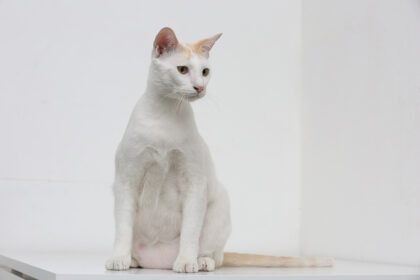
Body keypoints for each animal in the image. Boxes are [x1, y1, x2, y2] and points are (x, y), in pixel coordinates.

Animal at [105, 27, 332, 272]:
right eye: (182, 69)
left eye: (205, 71)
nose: (200, 87)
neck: (167, 112)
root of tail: (158, 264)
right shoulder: (126, 179)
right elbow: (123, 228)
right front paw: (119, 258)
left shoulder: (195, 183)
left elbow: (190, 231)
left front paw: (186, 261)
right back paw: (133, 260)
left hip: (220, 205)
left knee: (214, 254)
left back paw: (200, 261)